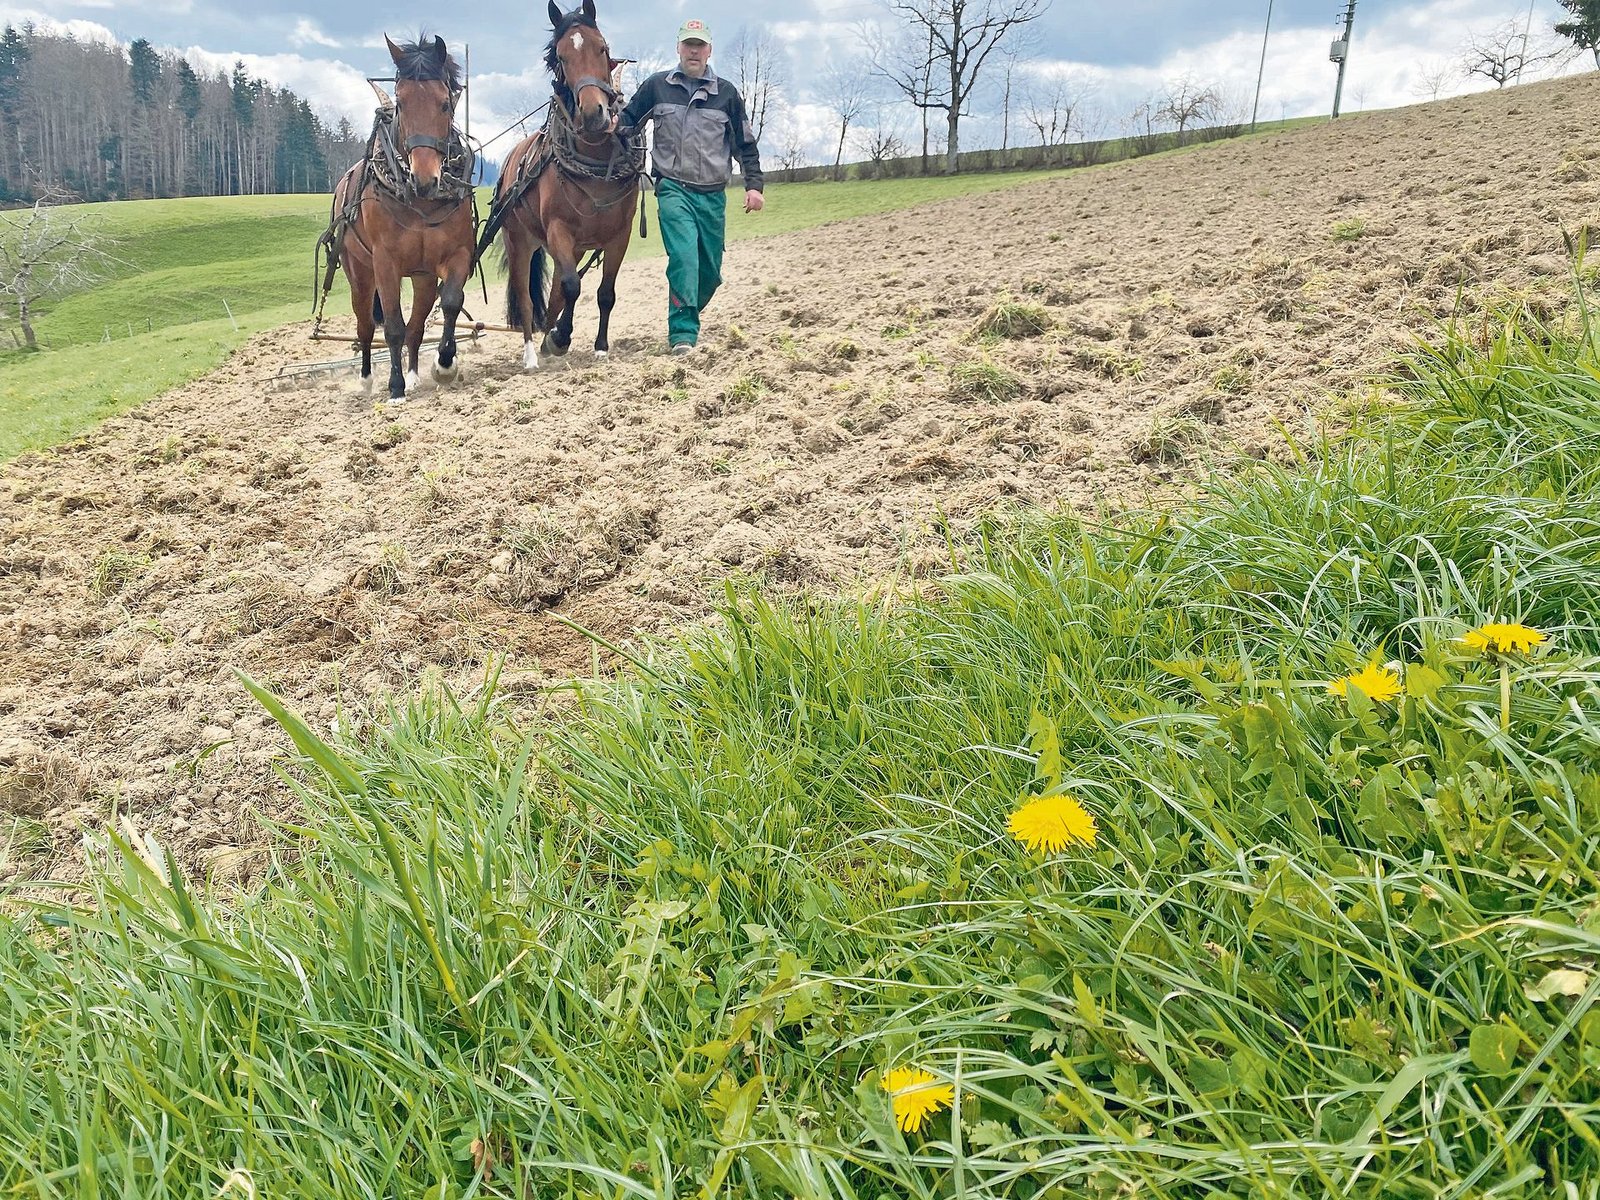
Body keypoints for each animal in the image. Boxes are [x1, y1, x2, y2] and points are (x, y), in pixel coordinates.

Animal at [322, 34, 476, 401]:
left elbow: (450, 303)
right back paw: (366, 378)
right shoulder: (386, 262)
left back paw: (415, 373)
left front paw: (444, 365)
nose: (424, 178)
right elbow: (392, 326)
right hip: (359, 272)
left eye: (445, 104)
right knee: (365, 325)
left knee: (416, 327)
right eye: (402, 103)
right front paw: (395, 386)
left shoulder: (455, 255)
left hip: (421, 277)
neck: (420, 202)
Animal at [480, 0, 641, 371]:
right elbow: (571, 286)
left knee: (553, 295)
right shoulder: (558, 231)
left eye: (602, 48)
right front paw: (560, 337)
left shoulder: (619, 236)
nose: (595, 114)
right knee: (527, 297)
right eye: (562, 57)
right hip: (520, 240)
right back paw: (531, 352)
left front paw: (600, 347)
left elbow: (604, 292)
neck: (595, 160)